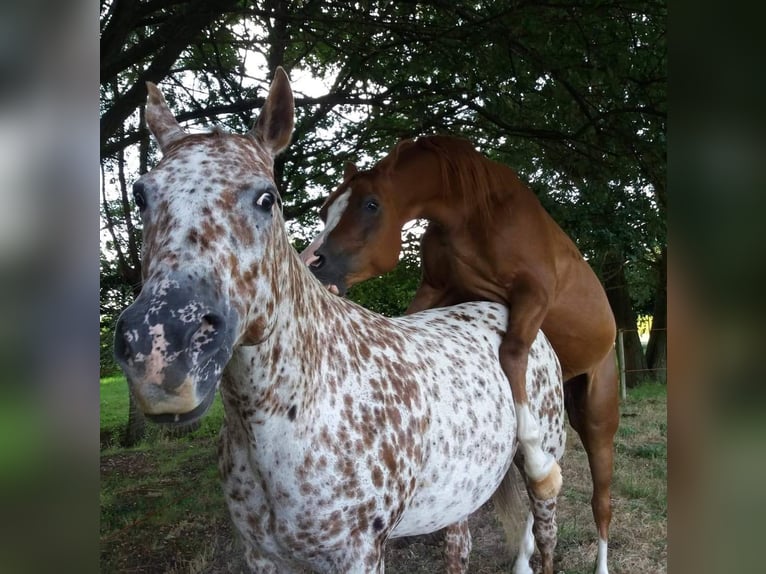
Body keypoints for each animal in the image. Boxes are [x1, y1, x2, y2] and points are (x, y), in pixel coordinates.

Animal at [115, 71, 568, 574]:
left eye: (267, 198)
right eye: (140, 194)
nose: (162, 350)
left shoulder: (359, 554)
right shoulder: (261, 556)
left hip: (544, 467)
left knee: (545, 539)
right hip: (459, 497)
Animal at [304, 136, 620, 574]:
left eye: (371, 204)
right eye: (324, 210)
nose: (315, 265)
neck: (474, 214)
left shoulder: (533, 296)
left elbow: (513, 353)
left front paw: (540, 463)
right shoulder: (438, 288)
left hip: (597, 422)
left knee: (600, 502)